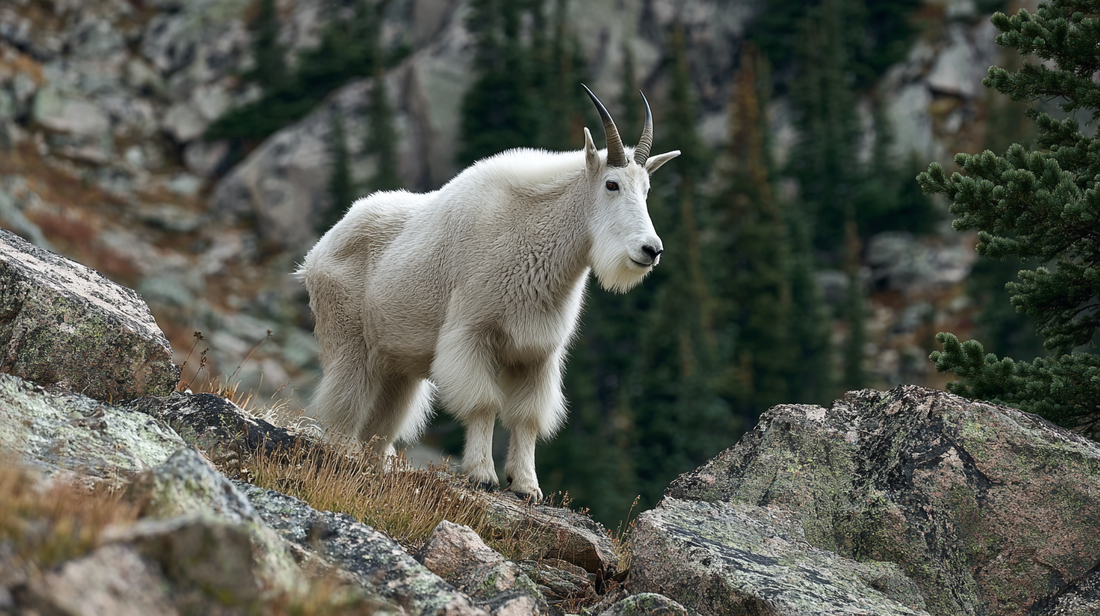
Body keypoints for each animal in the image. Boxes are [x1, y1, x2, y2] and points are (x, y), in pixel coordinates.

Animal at [297, 86, 679, 500]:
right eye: (611, 184)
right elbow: (483, 403)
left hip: (396, 364)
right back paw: (344, 452)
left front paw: (527, 485)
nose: (650, 250)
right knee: (344, 400)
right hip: (348, 338)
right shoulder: (472, 333)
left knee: (384, 419)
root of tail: (318, 251)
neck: (535, 237)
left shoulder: (538, 352)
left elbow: (527, 416)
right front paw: (482, 475)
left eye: (647, 189)